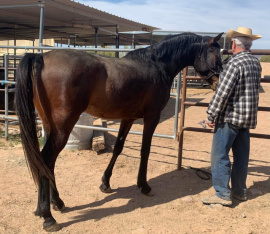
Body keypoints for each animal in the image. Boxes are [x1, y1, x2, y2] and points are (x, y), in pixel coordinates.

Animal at [15, 32, 224, 231]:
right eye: (214, 53)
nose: (219, 84)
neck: (157, 65)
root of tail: (41, 57)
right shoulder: (152, 117)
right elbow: (145, 150)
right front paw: (144, 185)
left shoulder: (128, 118)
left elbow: (118, 148)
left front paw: (105, 183)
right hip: (62, 127)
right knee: (46, 159)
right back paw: (48, 216)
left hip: (49, 125)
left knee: (46, 163)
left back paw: (55, 203)